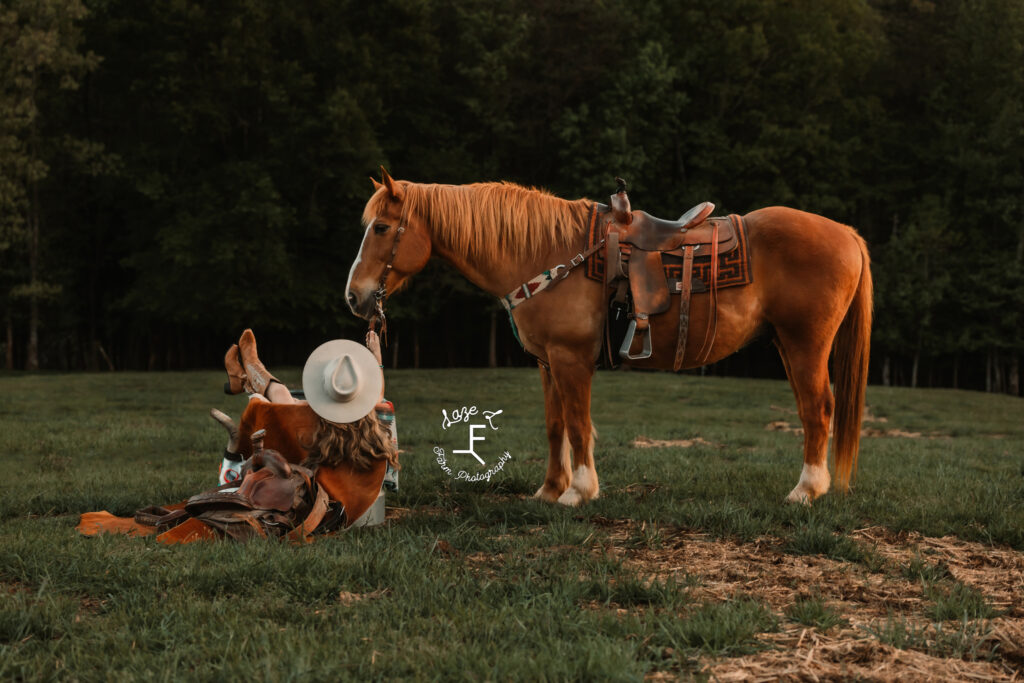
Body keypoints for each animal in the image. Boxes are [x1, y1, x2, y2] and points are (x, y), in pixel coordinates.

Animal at [346, 167, 872, 505]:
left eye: (382, 227)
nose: (354, 296)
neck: (548, 253)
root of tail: (846, 233)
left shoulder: (572, 359)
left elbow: (579, 424)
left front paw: (579, 492)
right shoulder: (547, 363)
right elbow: (556, 425)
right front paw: (549, 490)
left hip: (805, 345)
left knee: (817, 409)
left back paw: (806, 490)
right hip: (788, 344)